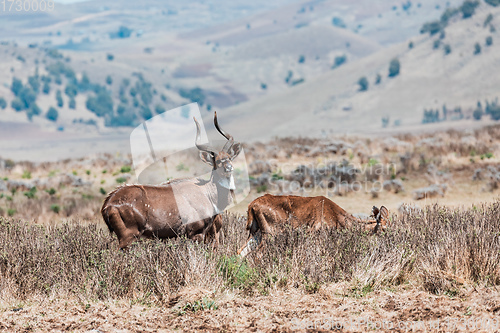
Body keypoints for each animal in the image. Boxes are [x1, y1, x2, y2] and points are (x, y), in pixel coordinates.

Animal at [100, 112, 241, 249]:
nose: (229, 168)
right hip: (128, 236)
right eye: (217, 161)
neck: (208, 193)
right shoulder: (196, 233)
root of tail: (107, 204)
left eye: (229, 158)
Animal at [238, 193, 390, 255]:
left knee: (241, 251)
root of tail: (252, 205)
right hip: (270, 234)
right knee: (258, 254)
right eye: (384, 228)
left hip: (255, 233)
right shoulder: (315, 234)